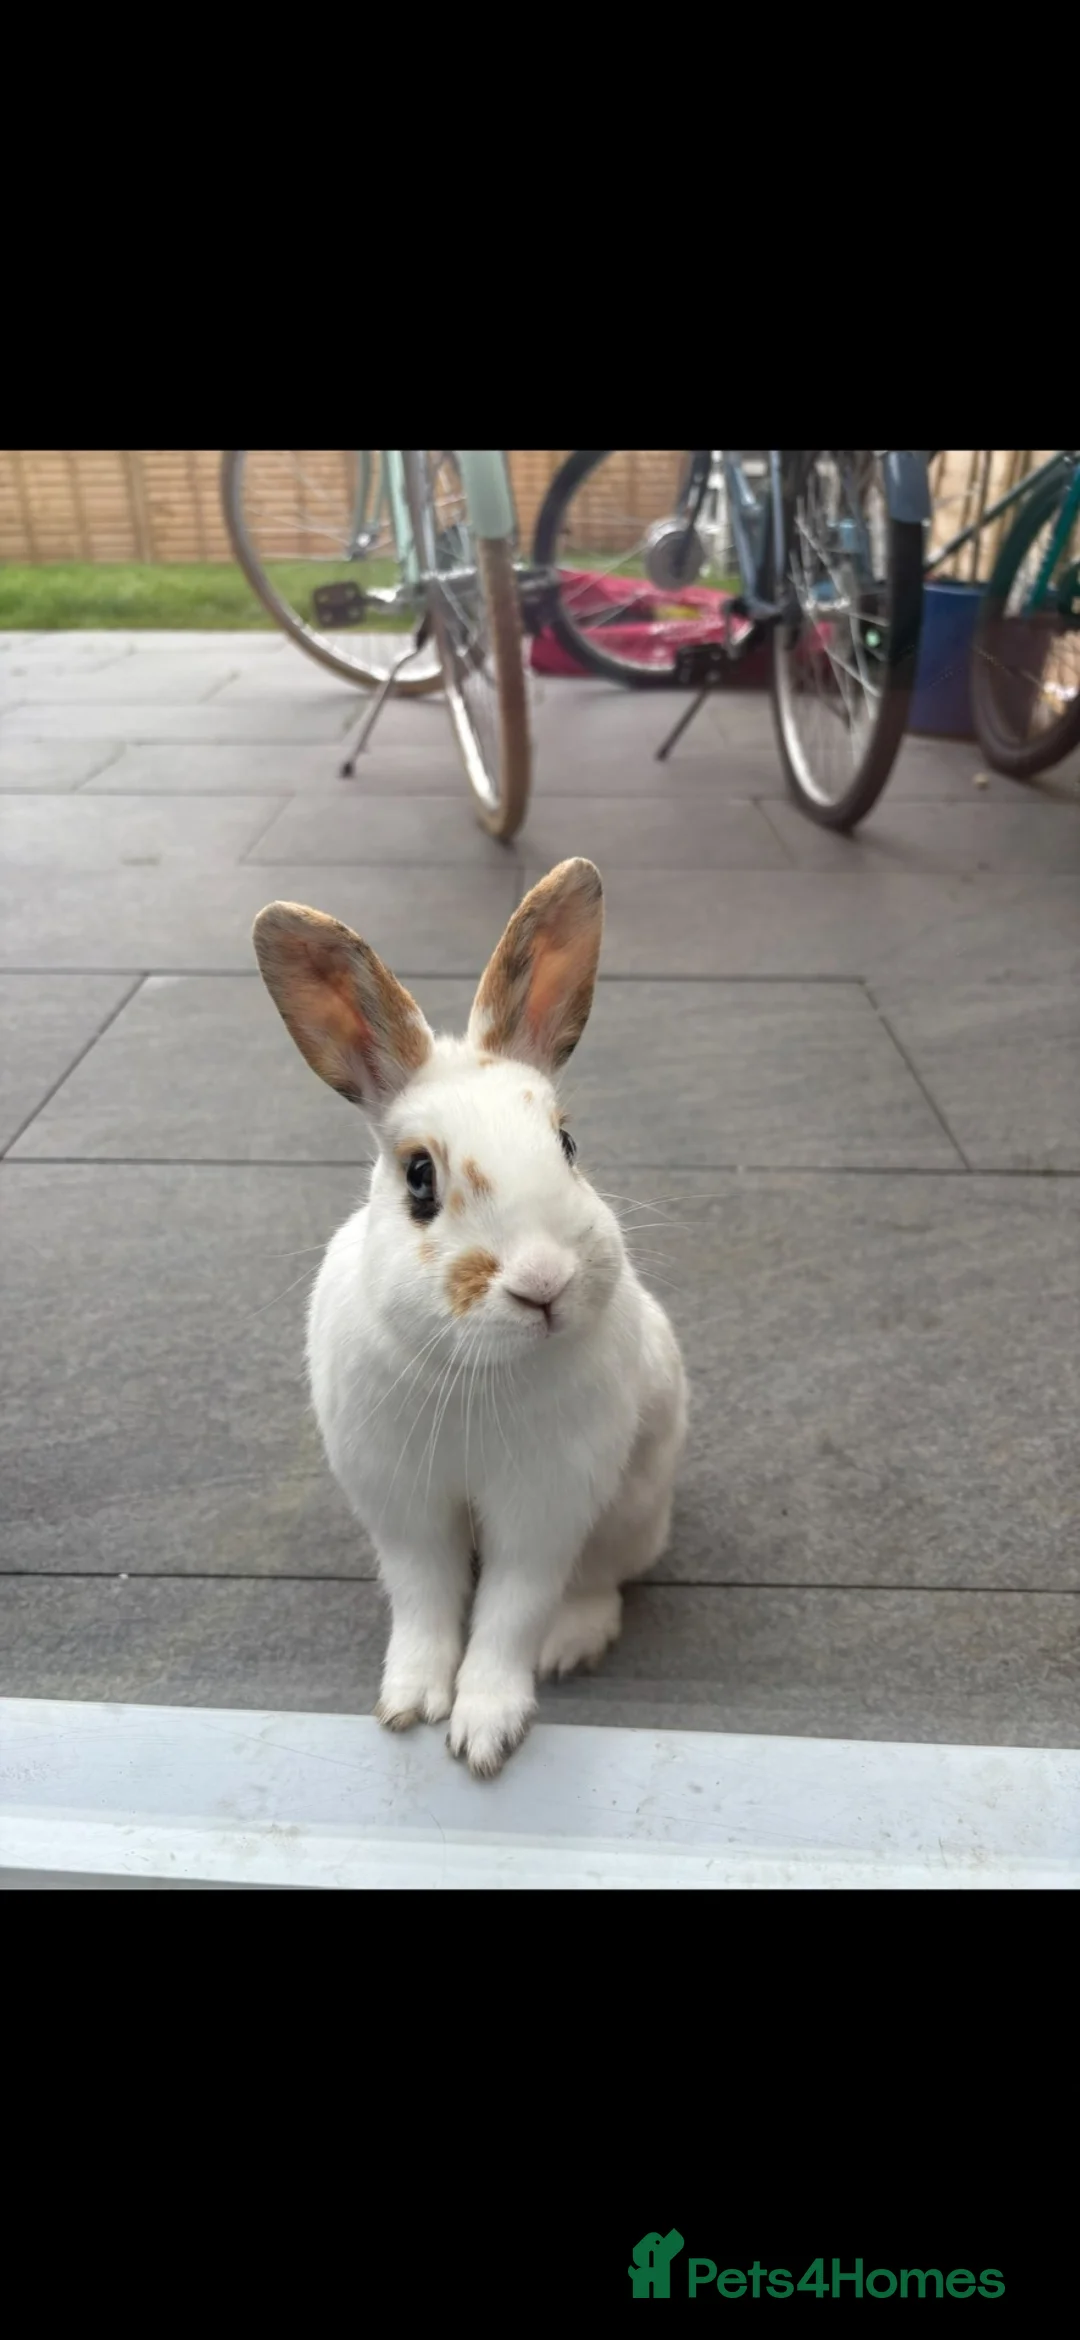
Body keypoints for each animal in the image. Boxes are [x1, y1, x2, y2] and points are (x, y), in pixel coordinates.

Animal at [252, 857, 688, 1779]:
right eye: (420, 1177)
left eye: (567, 1143)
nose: (543, 1283)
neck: (476, 1372)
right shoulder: (402, 1506)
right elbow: (424, 1603)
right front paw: (409, 1705)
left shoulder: (545, 1507)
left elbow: (511, 1613)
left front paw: (486, 1731)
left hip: (632, 1509)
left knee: (597, 1581)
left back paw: (571, 1644)